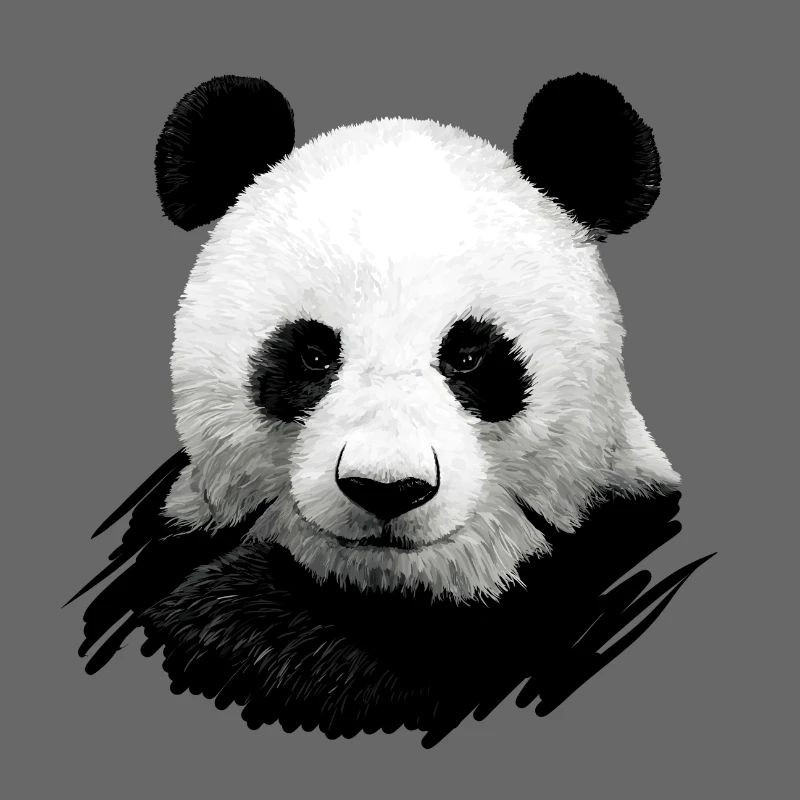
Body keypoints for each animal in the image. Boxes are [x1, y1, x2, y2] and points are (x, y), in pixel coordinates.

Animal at [72, 73, 708, 747]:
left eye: (469, 356)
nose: (387, 489)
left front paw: (234, 627)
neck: (379, 582)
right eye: (313, 354)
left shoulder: (579, 563)